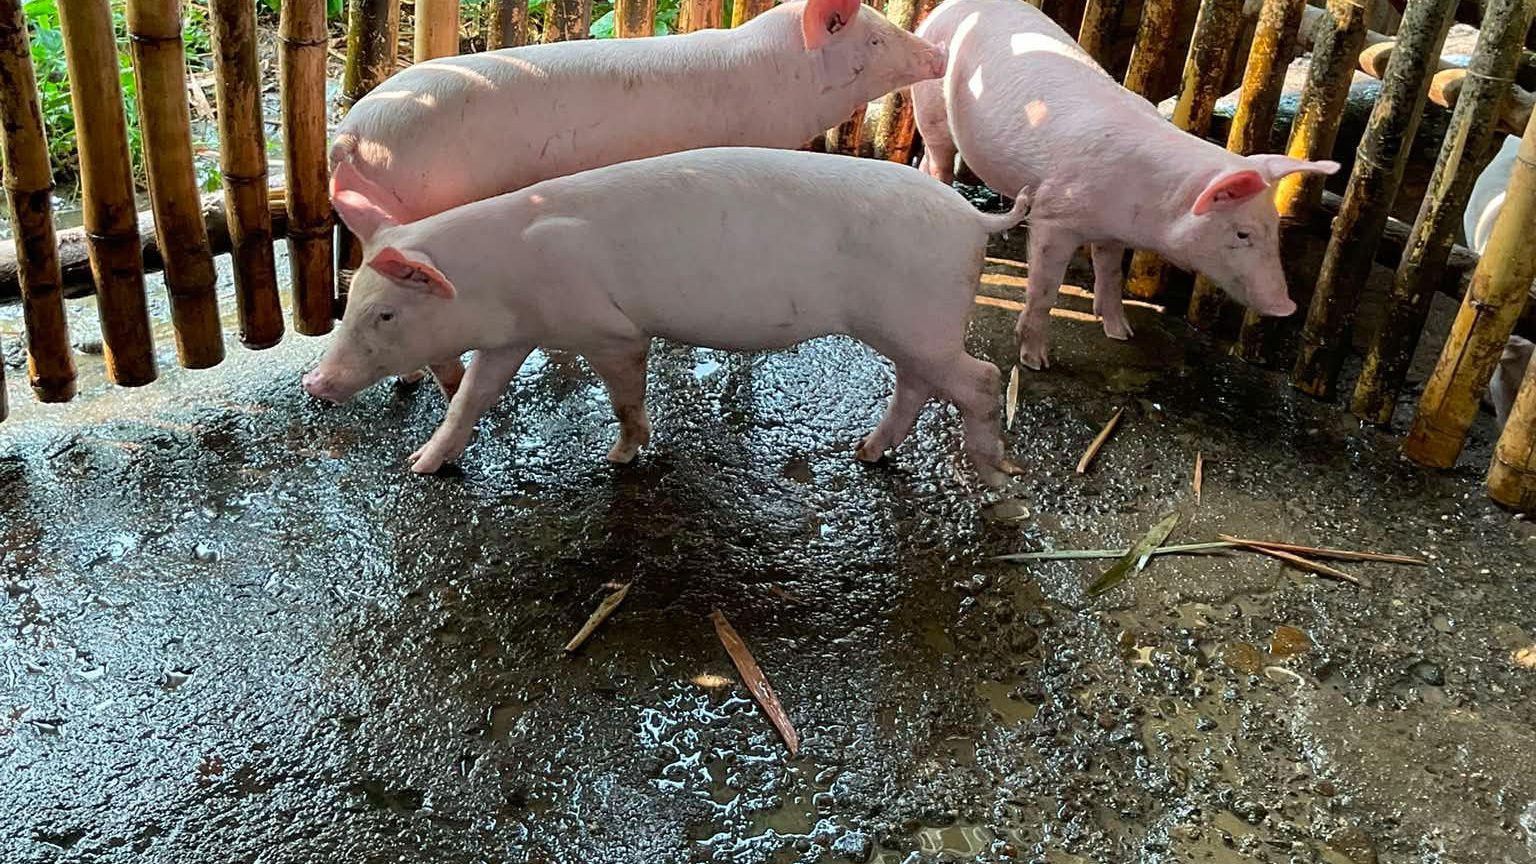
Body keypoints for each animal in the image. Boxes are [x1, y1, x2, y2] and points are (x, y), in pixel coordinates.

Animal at [302, 147, 1033, 486]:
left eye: (386, 315)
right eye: (350, 302)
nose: (315, 383)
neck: (501, 277)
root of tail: (975, 220)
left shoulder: (606, 328)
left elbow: (625, 392)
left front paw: (620, 457)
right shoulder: (514, 337)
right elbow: (468, 402)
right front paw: (419, 466)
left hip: (920, 320)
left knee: (982, 377)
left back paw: (997, 478)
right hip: (910, 328)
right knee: (919, 384)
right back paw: (867, 454)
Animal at [909, 0, 1339, 370]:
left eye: (1275, 228)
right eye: (1242, 233)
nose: (1287, 306)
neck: (1146, 207)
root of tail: (946, 9)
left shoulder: (1113, 232)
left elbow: (1111, 272)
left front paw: (1122, 334)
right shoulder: (1053, 216)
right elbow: (1044, 291)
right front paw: (1035, 362)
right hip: (930, 107)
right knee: (940, 160)